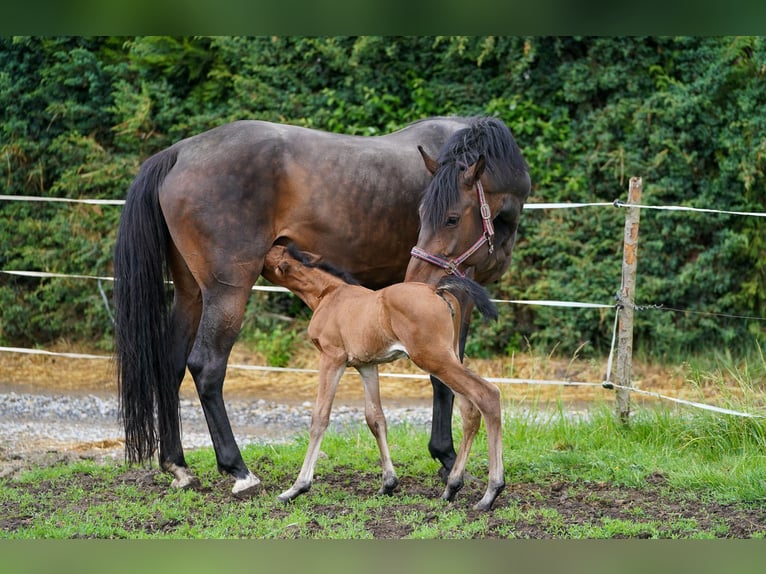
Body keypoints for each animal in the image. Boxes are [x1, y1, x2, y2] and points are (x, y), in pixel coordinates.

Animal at [260, 245, 508, 510]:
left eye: (270, 254)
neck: (328, 294)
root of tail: (436, 290)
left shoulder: (332, 357)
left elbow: (320, 418)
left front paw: (296, 488)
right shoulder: (367, 365)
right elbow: (375, 418)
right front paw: (388, 483)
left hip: (434, 359)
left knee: (487, 394)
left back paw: (490, 493)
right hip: (449, 357)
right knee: (469, 411)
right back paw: (452, 487)